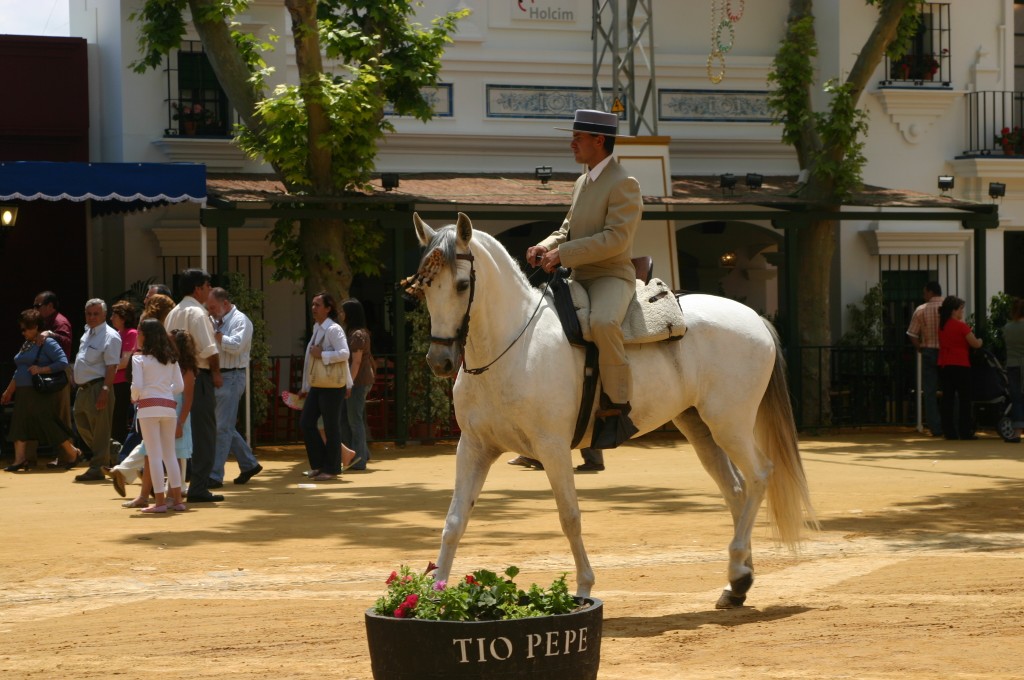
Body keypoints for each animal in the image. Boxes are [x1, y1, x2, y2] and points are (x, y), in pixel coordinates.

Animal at [407, 210, 815, 606]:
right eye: (425, 286)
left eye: (462, 285)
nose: (440, 361)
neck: (514, 344)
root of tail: (754, 318)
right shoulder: (474, 447)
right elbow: (454, 520)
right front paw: (435, 596)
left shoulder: (552, 449)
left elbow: (569, 516)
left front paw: (584, 586)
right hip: (699, 426)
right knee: (735, 489)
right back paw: (738, 582)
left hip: (729, 423)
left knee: (759, 476)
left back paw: (737, 570)